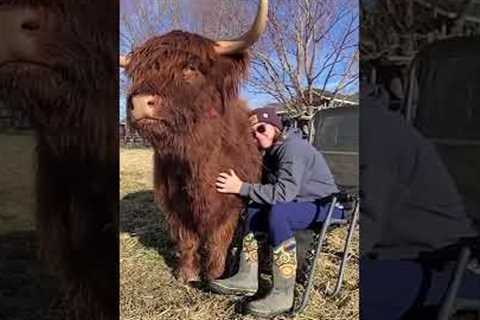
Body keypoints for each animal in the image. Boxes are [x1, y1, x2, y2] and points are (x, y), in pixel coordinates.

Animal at [120, 1, 268, 282]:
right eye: (138, 71)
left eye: (190, 68)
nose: (141, 102)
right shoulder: (174, 204)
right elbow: (186, 239)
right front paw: (186, 274)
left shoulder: (230, 204)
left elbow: (218, 240)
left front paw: (215, 275)